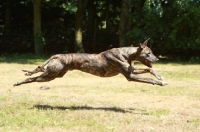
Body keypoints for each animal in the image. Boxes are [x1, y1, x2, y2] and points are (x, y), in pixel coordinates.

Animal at [13, 38, 168, 86]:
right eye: (148, 54)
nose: (158, 59)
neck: (127, 54)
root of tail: (57, 55)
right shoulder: (130, 76)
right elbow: (148, 79)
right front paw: (160, 82)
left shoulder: (132, 70)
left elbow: (149, 69)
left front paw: (160, 76)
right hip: (50, 75)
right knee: (33, 78)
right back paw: (18, 82)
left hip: (55, 74)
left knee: (38, 72)